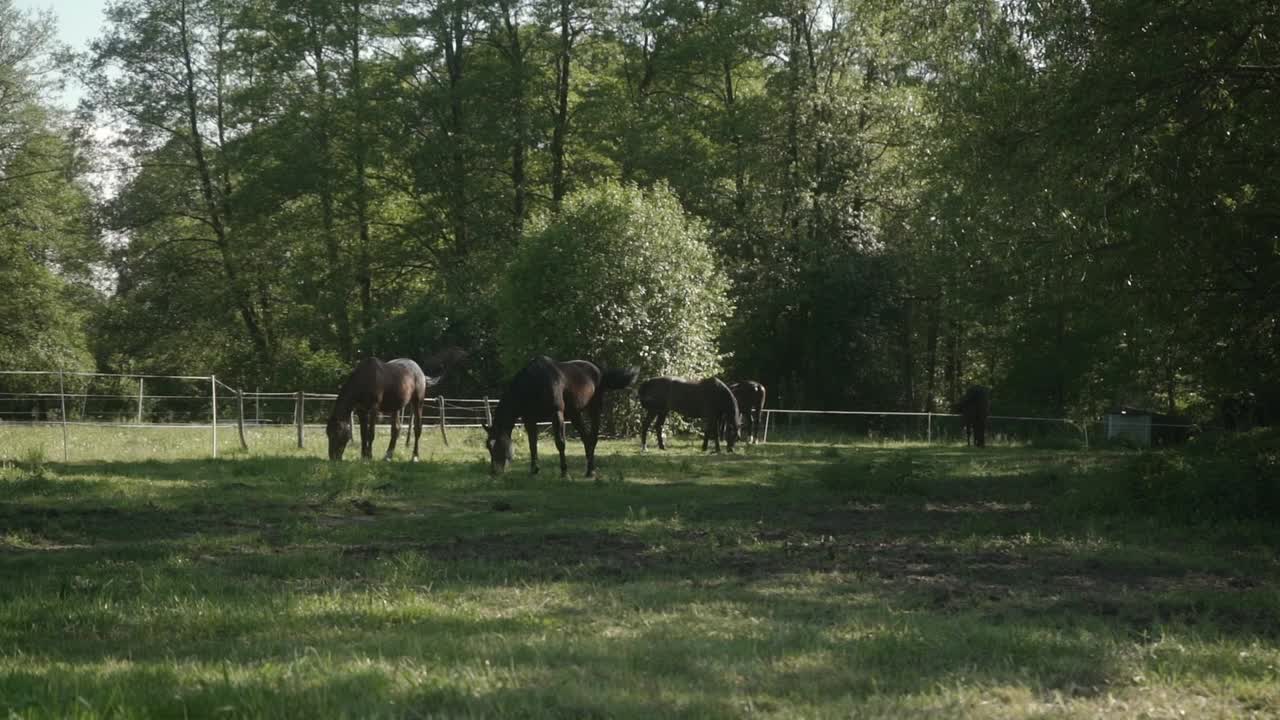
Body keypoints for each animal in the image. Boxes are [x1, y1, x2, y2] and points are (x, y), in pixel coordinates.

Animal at [327, 348, 468, 458]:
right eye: (328, 434)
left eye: (336, 434)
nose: (333, 458)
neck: (364, 380)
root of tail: (421, 372)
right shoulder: (361, 411)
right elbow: (363, 434)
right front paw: (363, 456)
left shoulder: (373, 409)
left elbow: (371, 433)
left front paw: (369, 456)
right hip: (396, 407)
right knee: (396, 429)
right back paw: (388, 456)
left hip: (417, 402)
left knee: (417, 428)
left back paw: (415, 456)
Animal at [481, 353, 637, 476]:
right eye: (488, 446)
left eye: (498, 444)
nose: (494, 471)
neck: (533, 384)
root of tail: (599, 370)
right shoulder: (529, 419)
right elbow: (532, 444)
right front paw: (534, 471)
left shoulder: (556, 414)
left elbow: (560, 443)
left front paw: (564, 472)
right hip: (575, 414)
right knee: (586, 438)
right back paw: (588, 470)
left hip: (594, 409)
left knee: (592, 438)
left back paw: (592, 470)